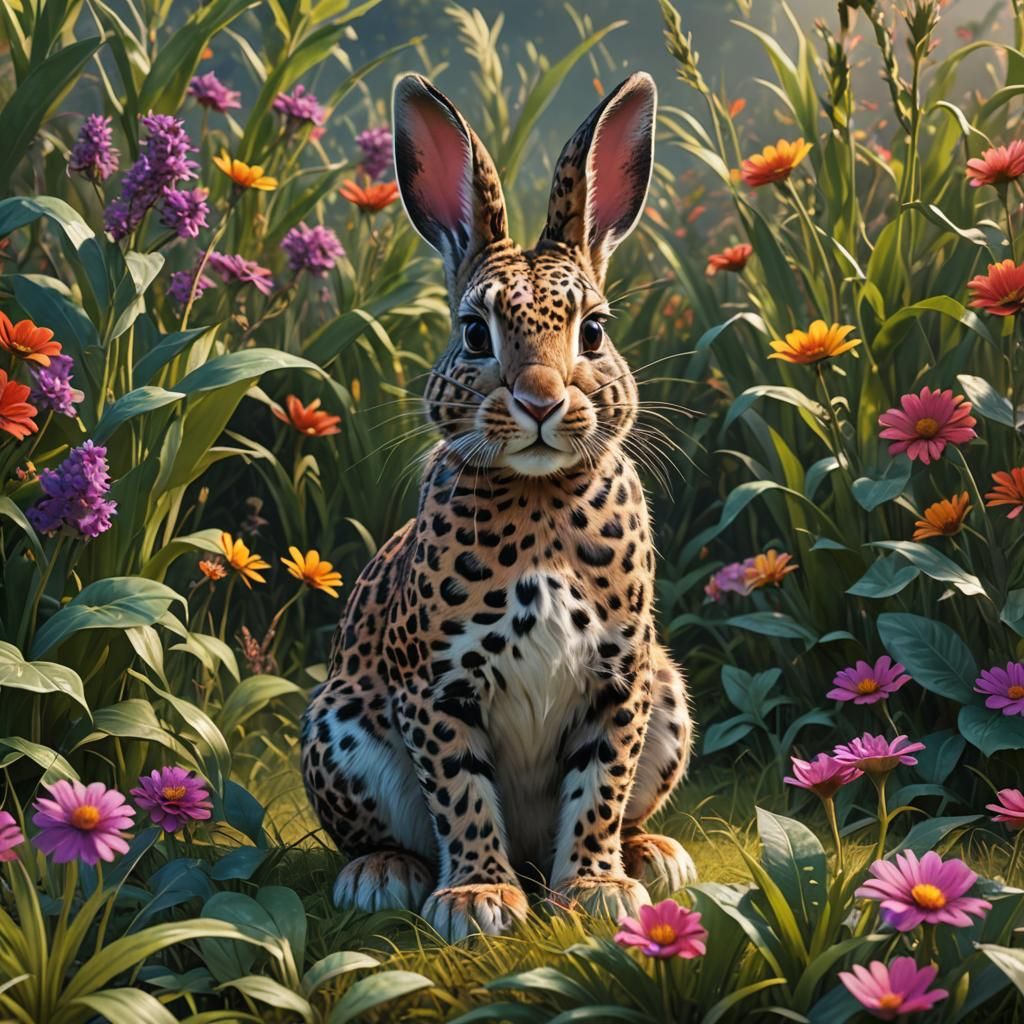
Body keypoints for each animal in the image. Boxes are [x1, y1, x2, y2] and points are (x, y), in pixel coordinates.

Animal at [301, 70, 695, 940]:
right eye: (474, 332)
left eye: (595, 331)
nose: (540, 401)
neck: (541, 496)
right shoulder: (437, 690)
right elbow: (462, 795)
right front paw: (480, 900)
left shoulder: (620, 684)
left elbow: (600, 790)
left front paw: (596, 891)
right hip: (339, 728)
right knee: (384, 832)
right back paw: (382, 875)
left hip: (669, 694)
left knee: (630, 808)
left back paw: (654, 858)